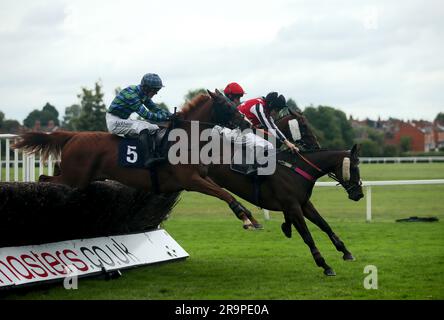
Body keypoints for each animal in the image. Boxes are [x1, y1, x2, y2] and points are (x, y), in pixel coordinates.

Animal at [12, 90, 264, 230]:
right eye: (226, 105)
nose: (247, 123)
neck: (185, 139)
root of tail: (72, 135)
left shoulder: (201, 177)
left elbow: (226, 193)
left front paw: (250, 217)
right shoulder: (191, 181)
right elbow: (224, 194)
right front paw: (246, 219)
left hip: (76, 177)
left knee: (50, 176)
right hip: (74, 179)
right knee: (44, 179)